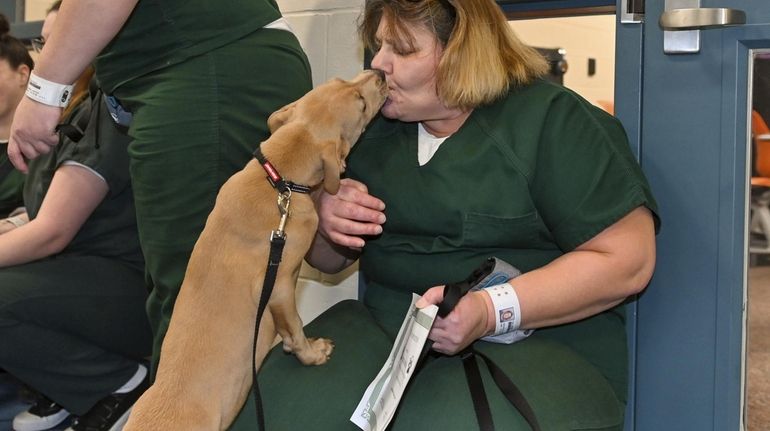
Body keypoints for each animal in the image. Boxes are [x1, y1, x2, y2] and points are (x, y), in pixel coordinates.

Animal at [124, 69, 388, 430]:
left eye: (340, 81)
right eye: (361, 103)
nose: (381, 73)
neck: (279, 181)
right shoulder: (278, 286)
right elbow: (295, 326)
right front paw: (311, 353)